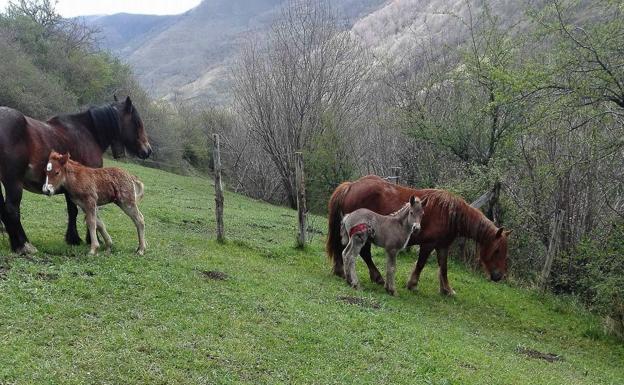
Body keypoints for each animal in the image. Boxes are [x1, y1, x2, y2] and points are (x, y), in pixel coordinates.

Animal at [0, 96, 151, 254]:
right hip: (13, 182)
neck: (88, 132)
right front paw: (89, 239)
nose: (148, 150)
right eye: (138, 122)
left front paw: (73, 238)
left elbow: (73, 211)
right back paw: (24, 244)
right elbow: (87, 215)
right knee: (11, 209)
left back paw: (16, 244)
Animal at [326, 176, 512, 296]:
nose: (498, 276)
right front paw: (412, 285)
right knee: (361, 254)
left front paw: (447, 290)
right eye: (497, 250)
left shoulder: (442, 246)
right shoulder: (428, 245)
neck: (449, 214)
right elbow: (421, 264)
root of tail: (351, 185)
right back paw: (375, 277)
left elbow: (444, 268)